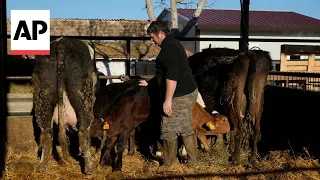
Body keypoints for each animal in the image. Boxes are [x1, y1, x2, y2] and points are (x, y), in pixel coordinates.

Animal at [32, 37, 98, 174]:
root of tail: (62, 43)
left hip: (44, 93)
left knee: (46, 131)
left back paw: (42, 167)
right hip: (82, 93)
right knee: (83, 130)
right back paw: (90, 169)